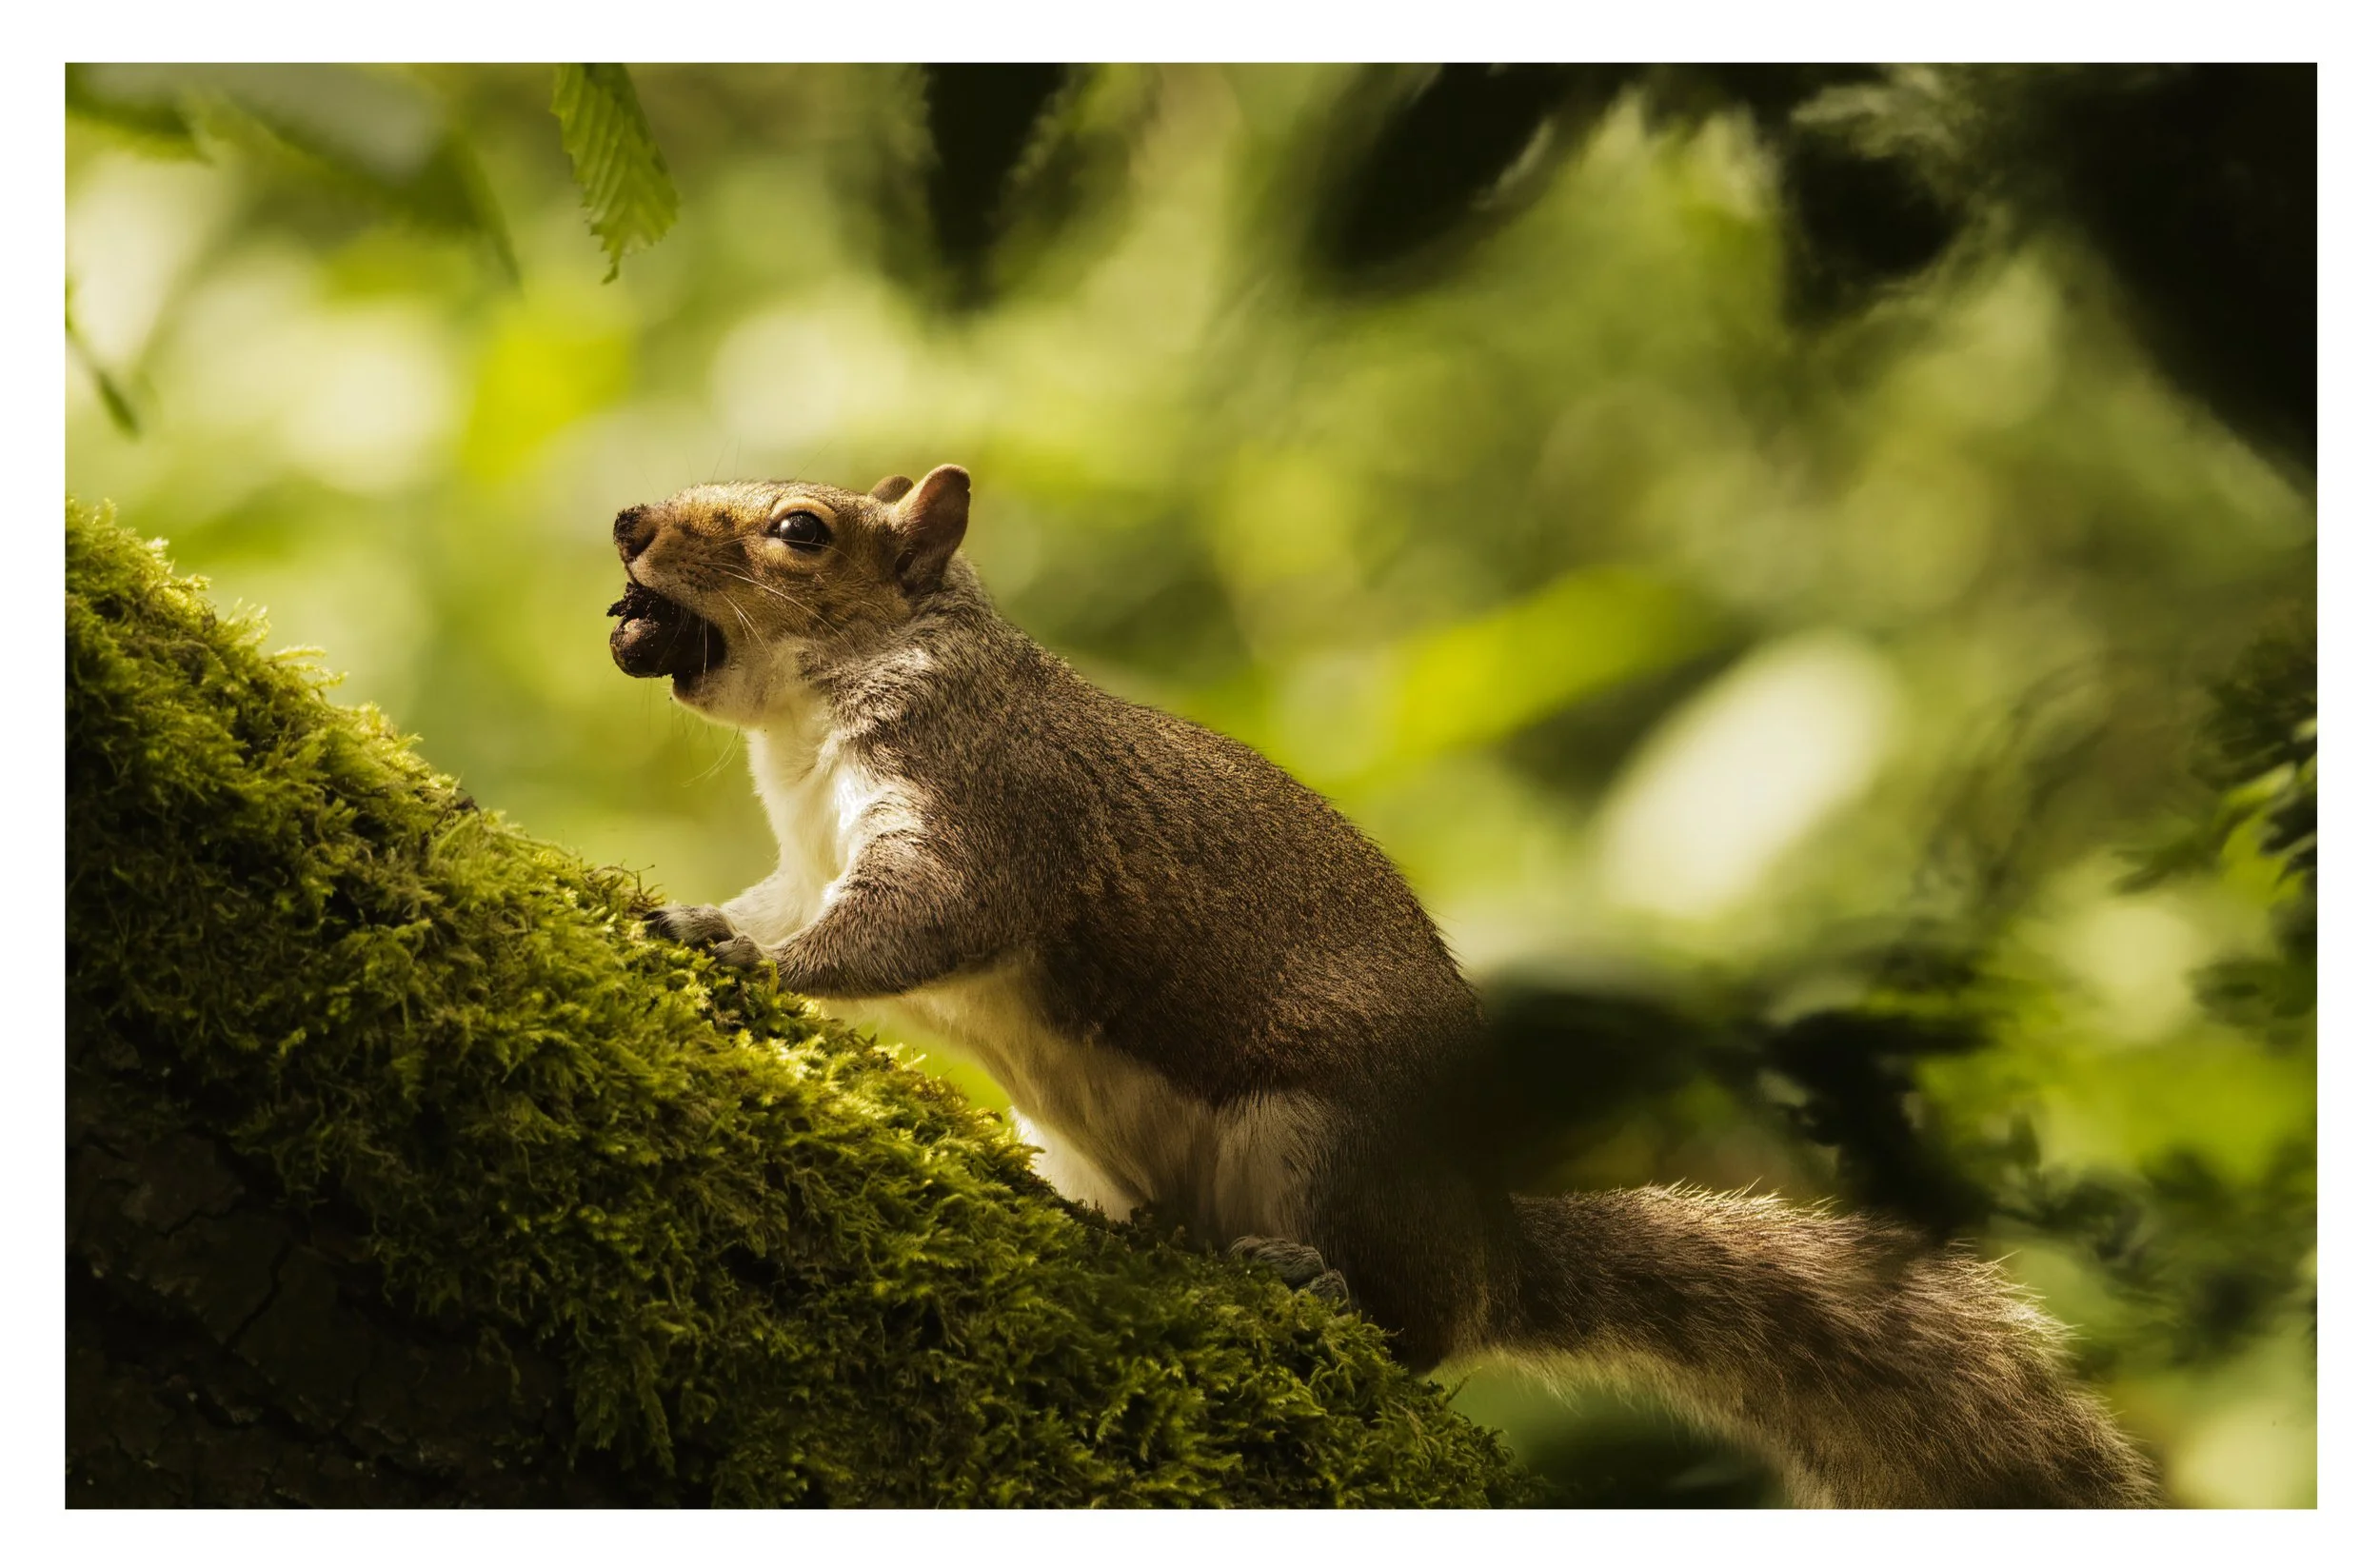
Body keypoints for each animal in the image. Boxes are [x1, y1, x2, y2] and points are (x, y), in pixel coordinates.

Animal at [606, 464, 2158, 1508]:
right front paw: (690, 913)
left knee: (1414, 1333)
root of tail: (1491, 1243)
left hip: (1322, 1137)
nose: (627, 524)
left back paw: (1318, 1282)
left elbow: (906, 927)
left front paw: (757, 963)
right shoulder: (809, 849)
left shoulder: (983, 807)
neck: (817, 721)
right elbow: (783, 899)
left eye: (800, 530)